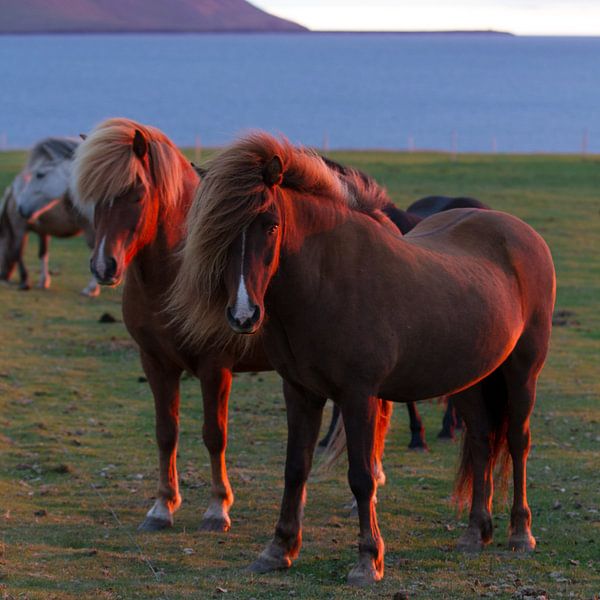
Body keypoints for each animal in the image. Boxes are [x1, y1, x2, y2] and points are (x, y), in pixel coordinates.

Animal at [171, 132, 556, 584]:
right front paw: (278, 549)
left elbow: (361, 477)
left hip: (522, 371)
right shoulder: (300, 392)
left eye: (271, 225)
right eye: (220, 230)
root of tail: (520, 232)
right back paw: (475, 533)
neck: (327, 281)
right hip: (469, 378)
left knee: (517, 441)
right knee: (480, 440)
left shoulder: (358, 396)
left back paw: (521, 533)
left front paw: (368, 559)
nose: (244, 315)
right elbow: (295, 469)